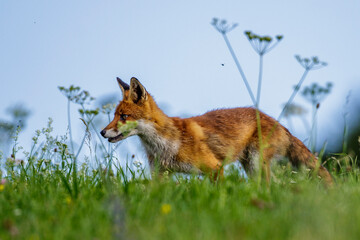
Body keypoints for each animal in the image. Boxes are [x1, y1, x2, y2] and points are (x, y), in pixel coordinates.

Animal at [100, 78, 334, 185]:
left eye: (123, 116)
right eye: (114, 115)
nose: (102, 132)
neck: (165, 145)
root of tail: (279, 123)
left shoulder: (214, 168)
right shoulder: (160, 174)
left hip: (257, 164)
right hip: (251, 166)